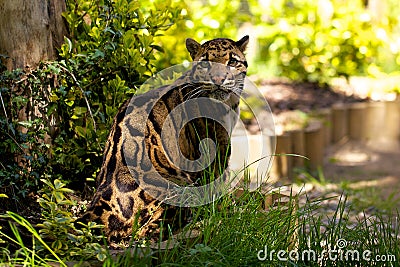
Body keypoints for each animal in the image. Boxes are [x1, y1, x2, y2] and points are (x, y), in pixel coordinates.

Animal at [79, 35, 250, 245]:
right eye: (206, 63)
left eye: (232, 61)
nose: (218, 79)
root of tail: (100, 202)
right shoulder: (216, 150)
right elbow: (218, 184)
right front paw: (229, 211)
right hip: (178, 185)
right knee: (148, 231)